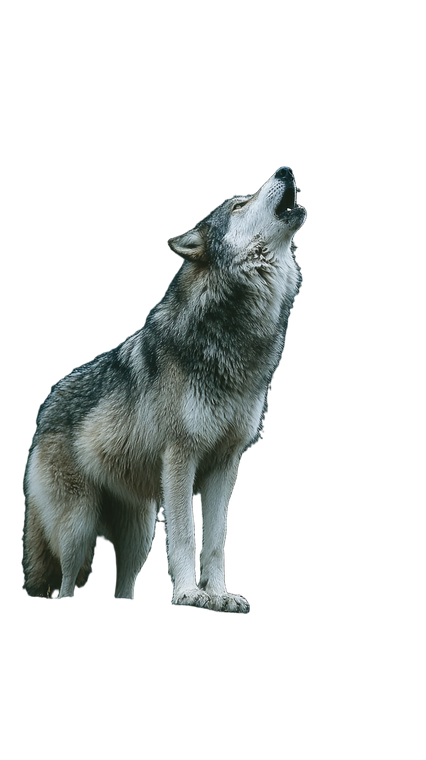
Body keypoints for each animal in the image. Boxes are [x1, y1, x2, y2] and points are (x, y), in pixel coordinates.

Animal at [20, 165, 307, 614]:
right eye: (239, 204)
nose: (285, 170)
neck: (233, 335)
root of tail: (47, 404)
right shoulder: (180, 457)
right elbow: (187, 534)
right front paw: (190, 594)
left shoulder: (225, 463)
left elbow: (215, 541)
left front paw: (220, 595)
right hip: (78, 528)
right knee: (67, 582)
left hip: (140, 533)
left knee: (122, 584)